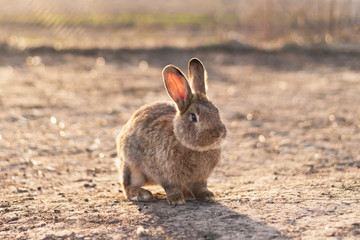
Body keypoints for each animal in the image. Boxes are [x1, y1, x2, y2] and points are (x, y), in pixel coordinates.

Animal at [115, 57, 225, 204]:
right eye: (193, 117)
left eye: (216, 111)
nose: (218, 134)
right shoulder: (165, 175)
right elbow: (170, 187)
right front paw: (177, 199)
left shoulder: (200, 179)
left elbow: (200, 187)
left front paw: (208, 196)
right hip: (132, 168)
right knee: (127, 186)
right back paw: (142, 194)